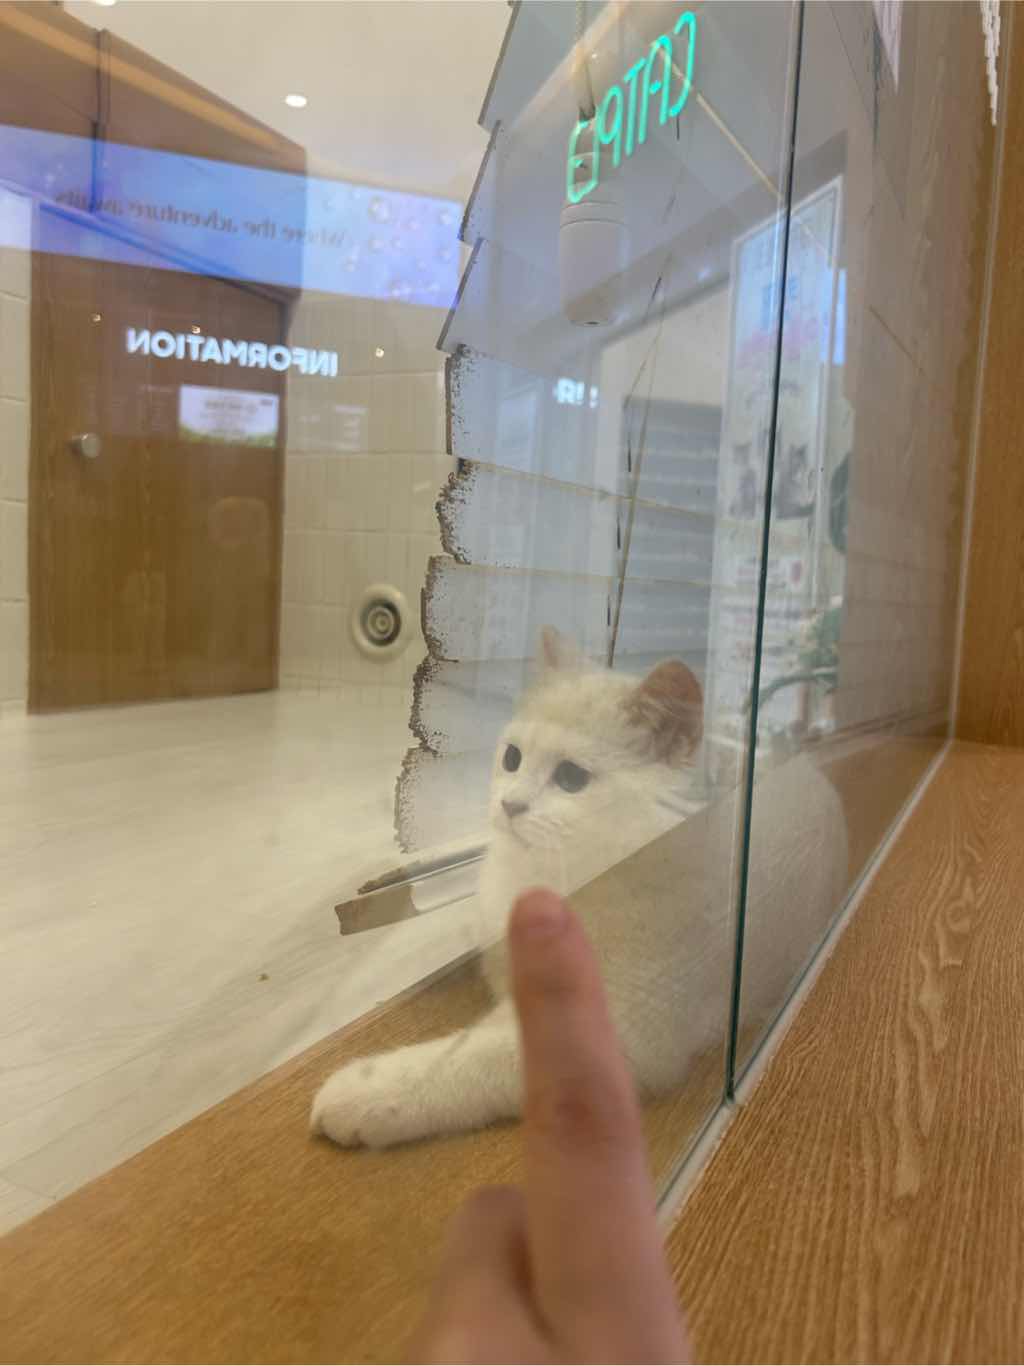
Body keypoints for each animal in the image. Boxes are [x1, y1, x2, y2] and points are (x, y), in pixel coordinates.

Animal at [311, 626, 848, 1148]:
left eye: (571, 777)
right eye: (512, 758)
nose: (509, 804)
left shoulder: (617, 1035)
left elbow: (469, 1058)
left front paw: (365, 1090)